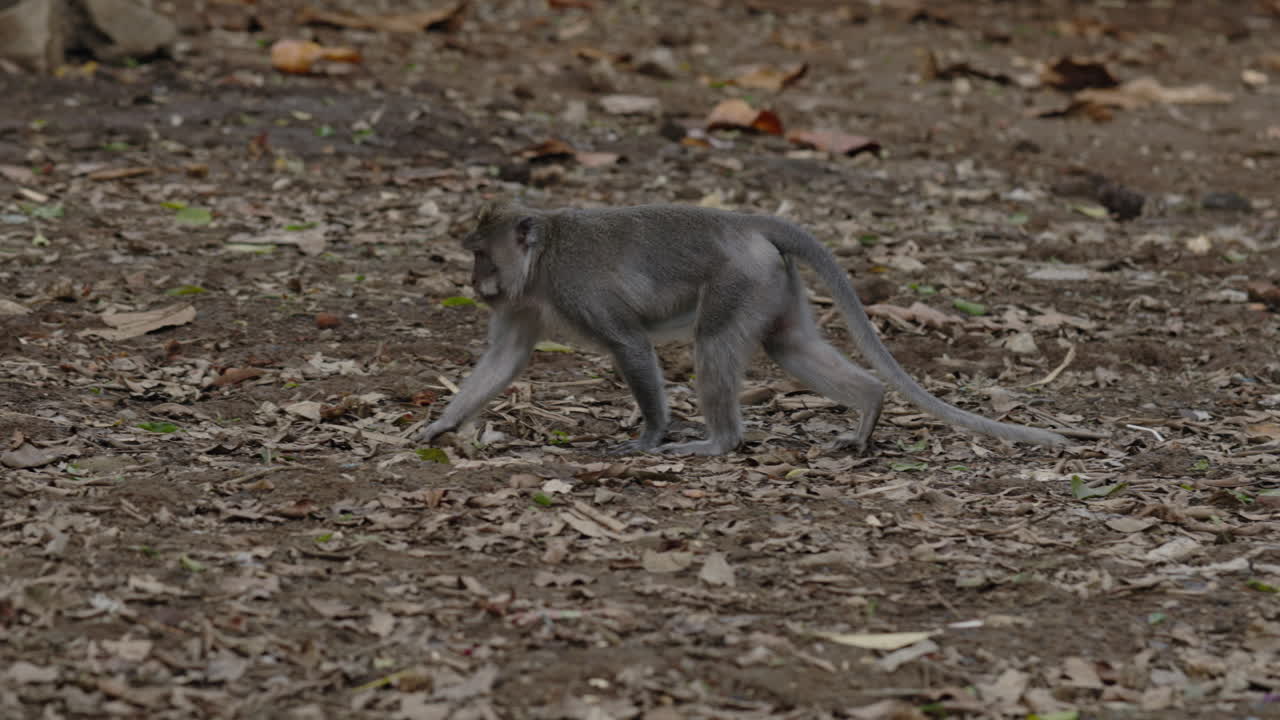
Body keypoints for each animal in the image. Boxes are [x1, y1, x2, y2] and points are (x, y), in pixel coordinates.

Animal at [415, 202, 1069, 456]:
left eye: (481, 254)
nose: (475, 281)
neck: (541, 261)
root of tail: (745, 223)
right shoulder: (520, 303)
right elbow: (505, 359)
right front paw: (440, 425)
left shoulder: (578, 291)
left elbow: (630, 343)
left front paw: (649, 437)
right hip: (771, 282)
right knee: (789, 346)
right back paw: (868, 408)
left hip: (740, 280)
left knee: (713, 344)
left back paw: (719, 441)